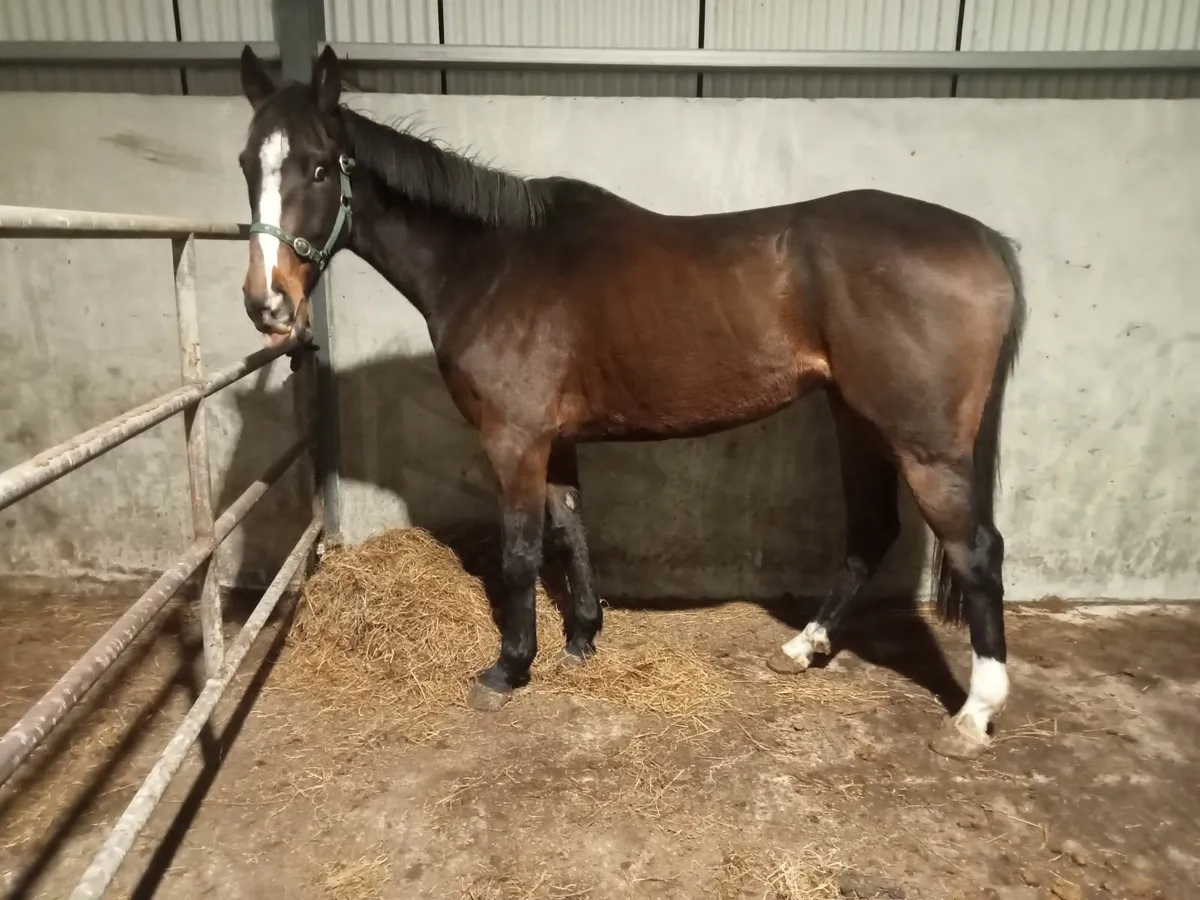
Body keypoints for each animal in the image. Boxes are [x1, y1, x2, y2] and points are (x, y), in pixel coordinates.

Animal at [235, 44, 1028, 761]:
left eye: (317, 166)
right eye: (247, 164)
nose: (268, 305)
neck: (491, 264)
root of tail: (983, 240)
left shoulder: (513, 440)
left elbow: (520, 553)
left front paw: (508, 668)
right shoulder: (553, 440)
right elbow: (571, 530)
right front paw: (583, 635)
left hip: (925, 445)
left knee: (977, 550)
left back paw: (973, 714)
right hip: (856, 420)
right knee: (870, 532)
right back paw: (805, 647)